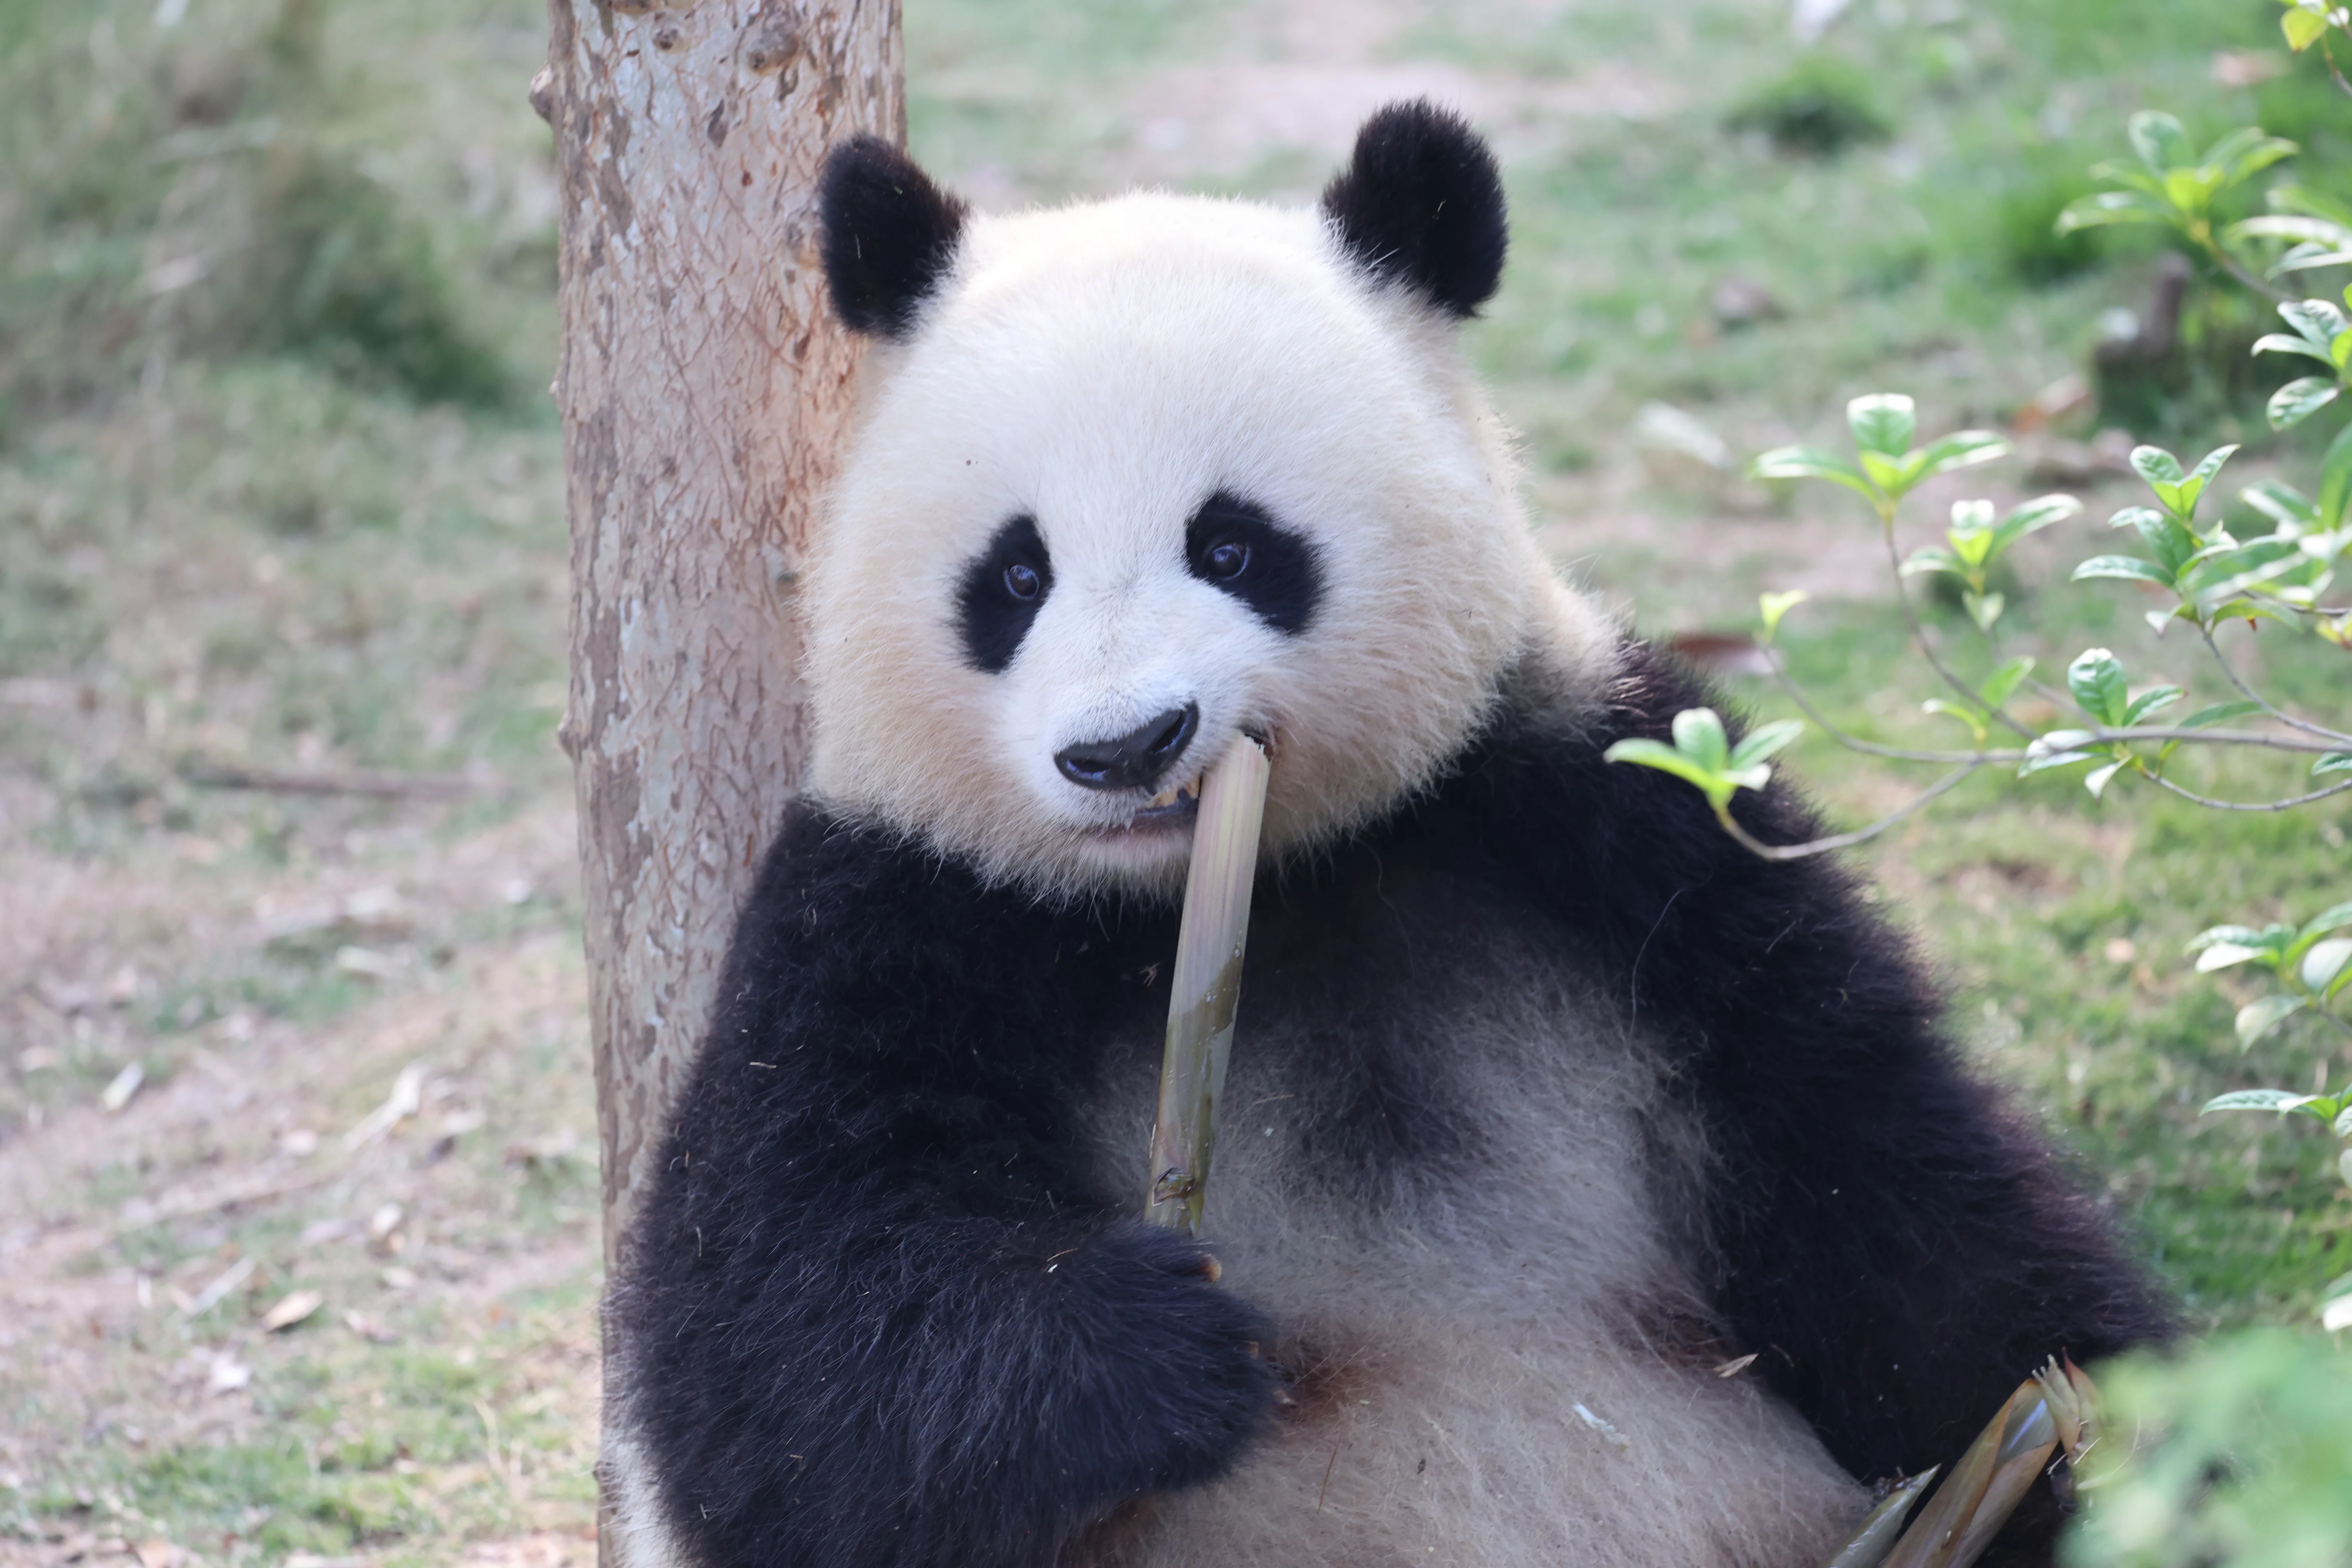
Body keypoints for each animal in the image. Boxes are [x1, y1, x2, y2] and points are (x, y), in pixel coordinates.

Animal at [602, 102, 2170, 1568]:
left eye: (1232, 544)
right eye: (1015, 574)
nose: (1127, 747)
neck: (1269, 885)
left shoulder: (1603, 817)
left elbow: (1880, 1174)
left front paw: (2109, 1434)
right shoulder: (897, 912)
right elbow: (766, 1360)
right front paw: (1144, 1346)